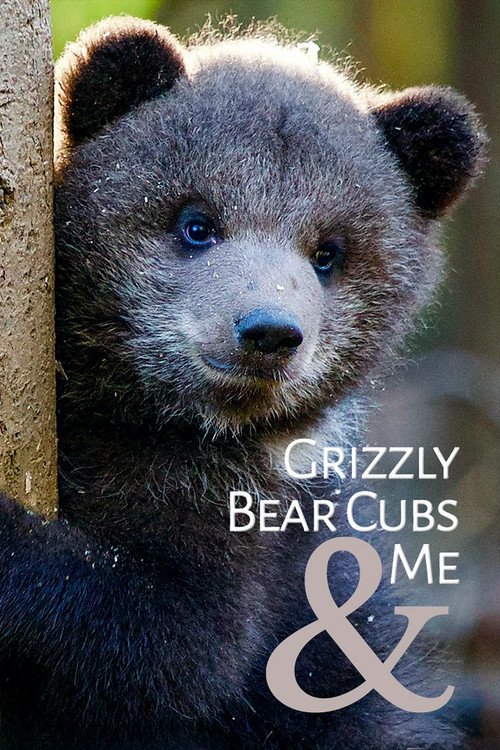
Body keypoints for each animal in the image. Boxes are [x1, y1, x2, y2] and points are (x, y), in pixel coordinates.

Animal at [0, 15, 486, 750]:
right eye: (196, 223)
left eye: (327, 253)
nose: (270, 333)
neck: (149, 420)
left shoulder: (255, 538)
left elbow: (171, 649)